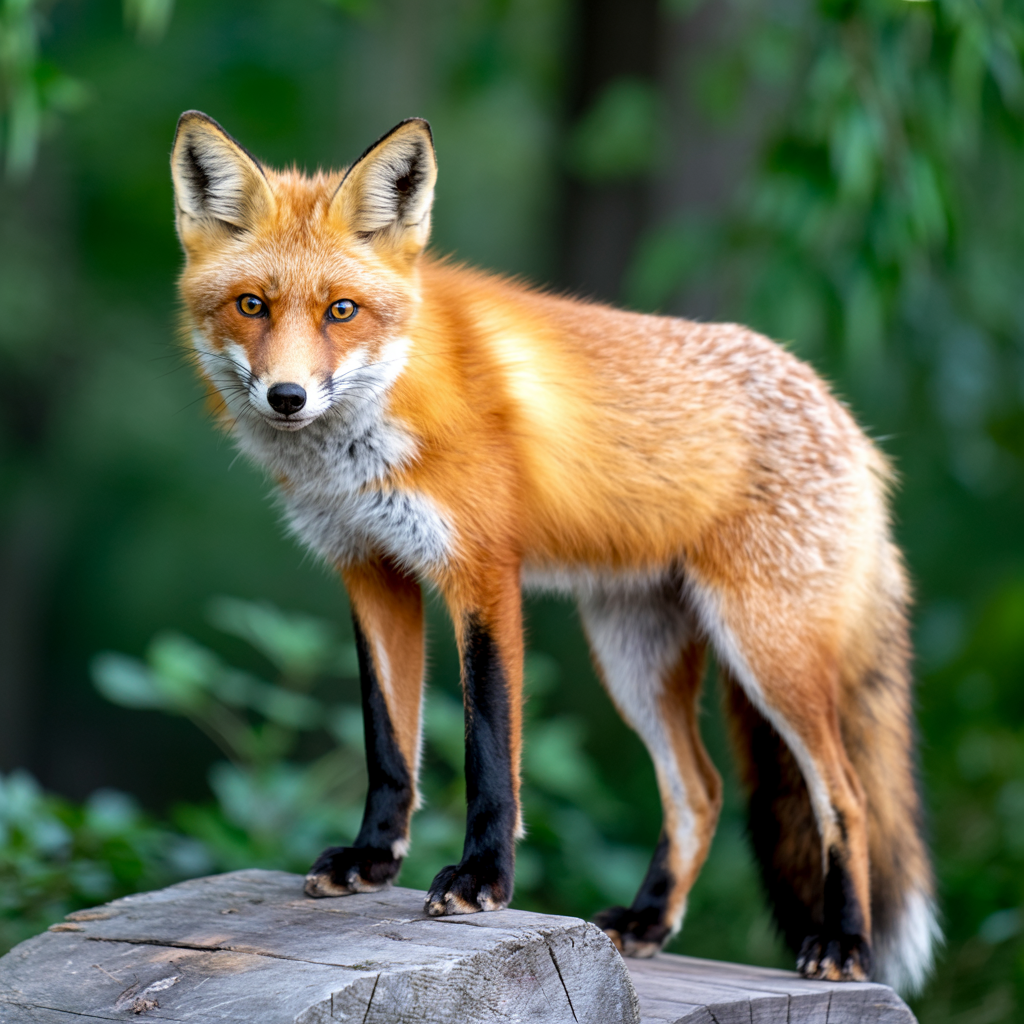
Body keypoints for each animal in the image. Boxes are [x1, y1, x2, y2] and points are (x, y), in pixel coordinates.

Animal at [169, 110, 940, 993]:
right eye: (251, 305)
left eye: (341, 310)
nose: (288, 397)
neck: (379, 420)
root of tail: (851, 427)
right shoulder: (371, 570)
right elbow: (389, 743)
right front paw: (372, 860)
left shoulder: (482, 574)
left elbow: (489, 747)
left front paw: (482, 880)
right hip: (636, 656)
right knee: (701, 790)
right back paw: (649, 919)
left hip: (766, 650)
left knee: (844, 795)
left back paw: (843, 943)